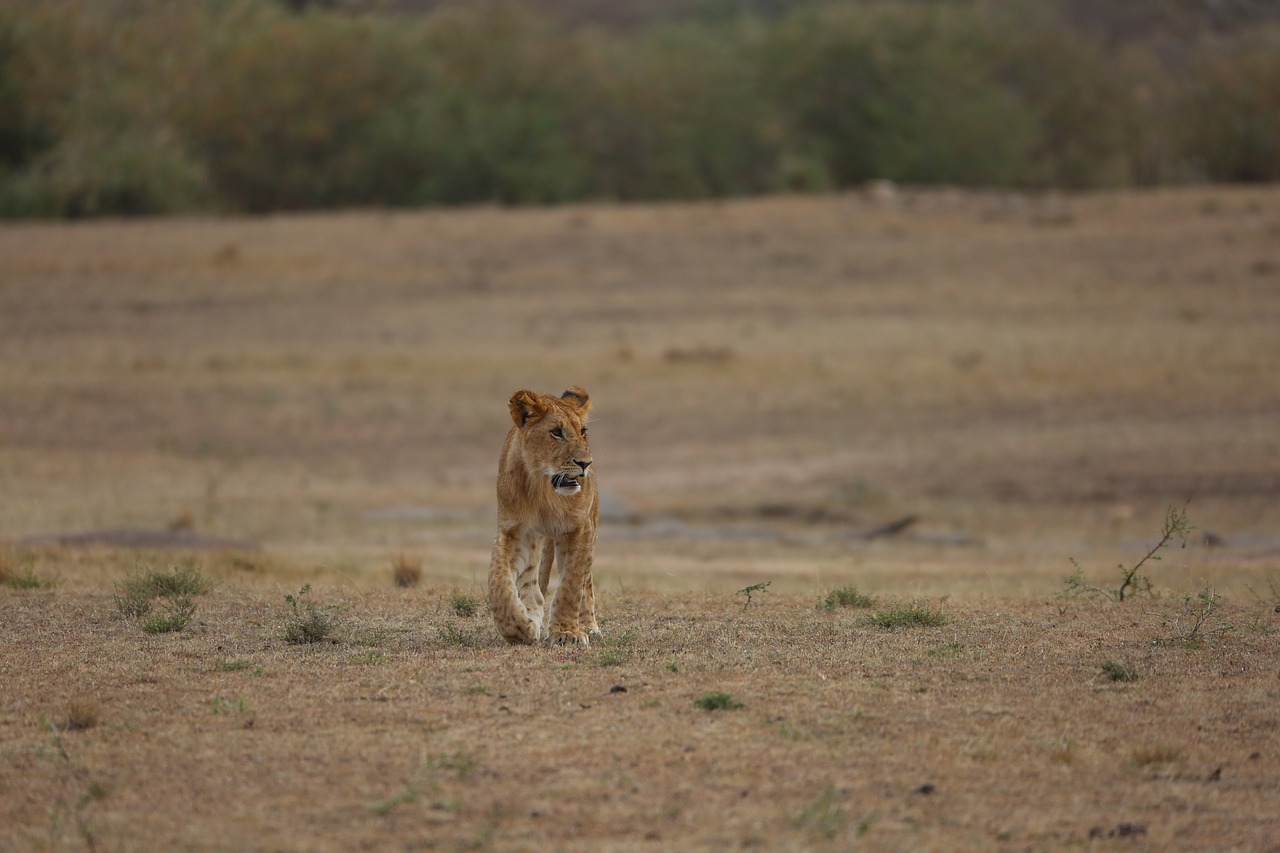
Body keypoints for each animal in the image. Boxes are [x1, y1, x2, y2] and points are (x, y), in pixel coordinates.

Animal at [483, 384, 599, 645]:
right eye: (556, 432)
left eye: (583, 431)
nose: (585, 464)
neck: (544, 490)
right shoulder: (514, 530)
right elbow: (498, 580)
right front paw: (517, 628)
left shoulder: (580, 528)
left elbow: (571, 584)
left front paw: (566, 632)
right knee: (531, 581)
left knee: (586, 580)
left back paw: (589, 626)